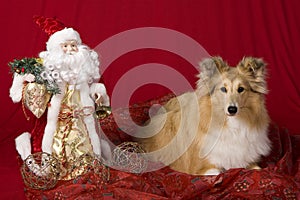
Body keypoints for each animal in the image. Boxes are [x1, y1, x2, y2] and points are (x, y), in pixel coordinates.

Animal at [138, 56, 272, 175]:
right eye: (223, 89)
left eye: (241, 89)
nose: (232, 109)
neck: (231, 125)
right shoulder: (201, 168)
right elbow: (219, 172)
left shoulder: (249, 162)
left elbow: (258, 169)